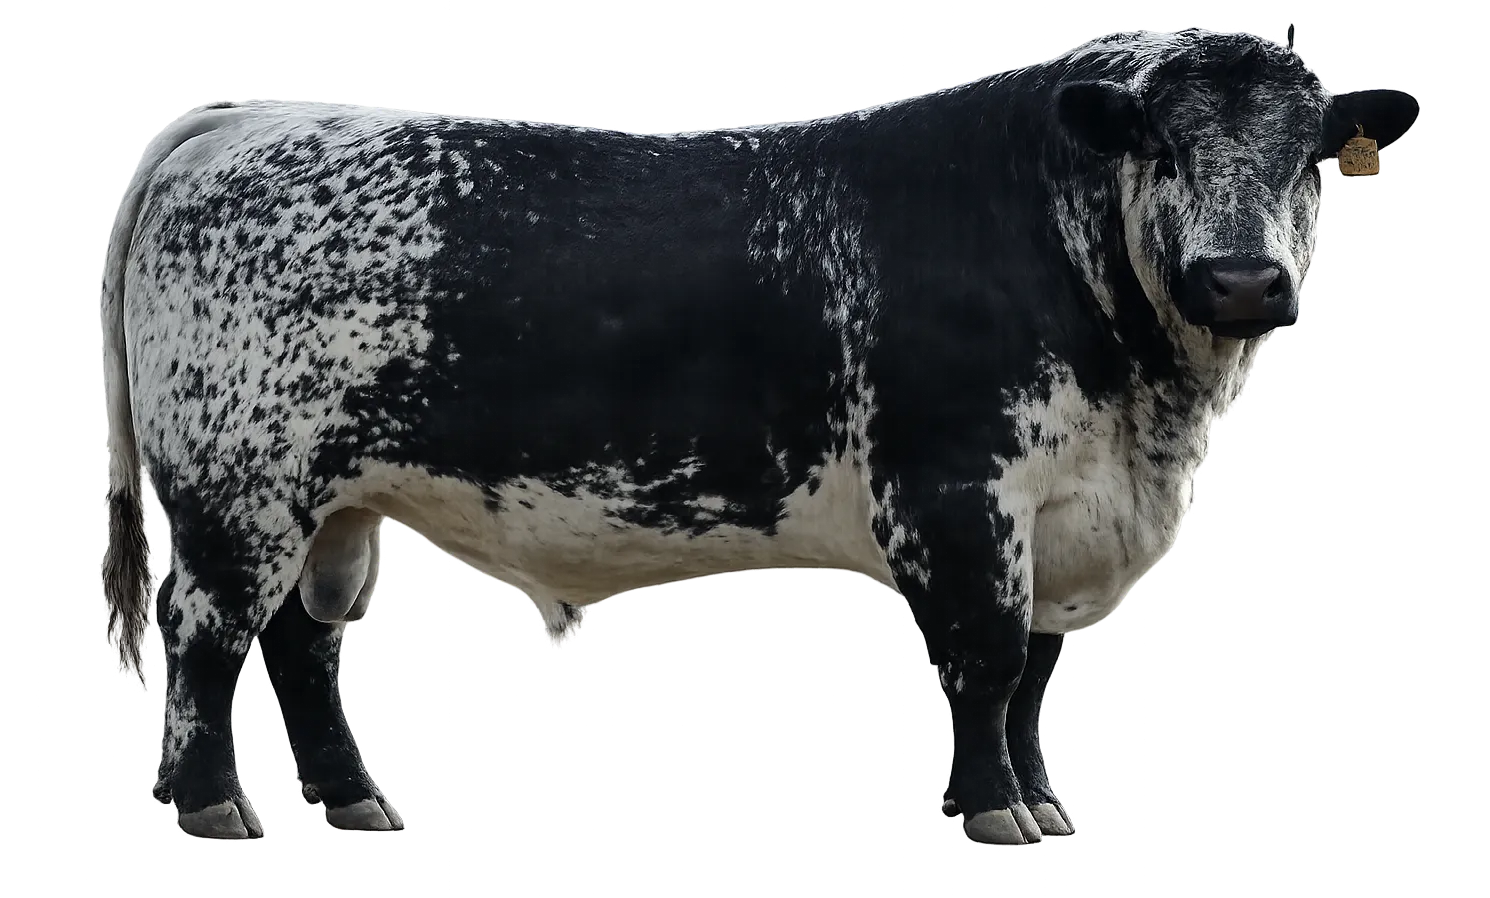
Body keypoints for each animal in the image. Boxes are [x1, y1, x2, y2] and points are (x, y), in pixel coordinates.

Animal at [101, 28, 1419, 843]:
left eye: (1307, 153)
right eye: (1159, 142)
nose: (1240, 282)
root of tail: (256, 119)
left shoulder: (1058, 517)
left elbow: (1036, 676)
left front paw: (1039, 800)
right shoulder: (954, 494)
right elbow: (987, 662)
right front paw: (992, 810)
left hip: (329, 502)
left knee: (300, 646)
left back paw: (354, 801)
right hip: (237, 490)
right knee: (207, 643)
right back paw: (214, 807)